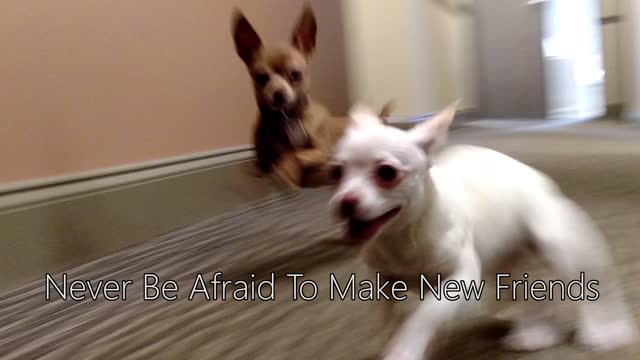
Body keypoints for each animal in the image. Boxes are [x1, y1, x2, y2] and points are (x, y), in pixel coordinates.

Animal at [231, 4, 370, 188]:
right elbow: (280, 158)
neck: (289, 117)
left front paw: (287, 169)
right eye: (262, 78)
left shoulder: (321, 150)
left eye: (295, 75)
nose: (279, 94)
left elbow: (297, 154)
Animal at [328, 102, 636, 360]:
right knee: (531, 295)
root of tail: (538, 178)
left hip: (557, 241)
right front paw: (404, 341)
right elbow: (395, 319)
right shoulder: (384, 283)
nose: (346, 202)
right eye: (336, 173)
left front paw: (404, 350)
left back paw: (601, 332)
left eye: (387, 173)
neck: (403, 235)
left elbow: (424, 317)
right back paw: (536, 334)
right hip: (508, 266)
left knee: (589, 290)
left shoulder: (460, 281)